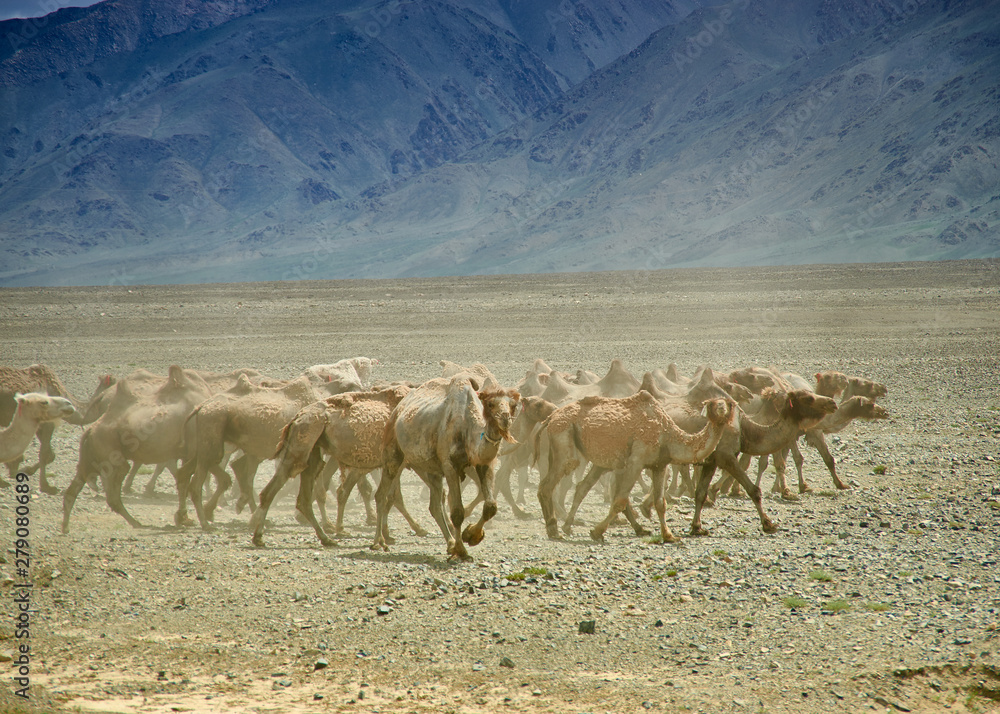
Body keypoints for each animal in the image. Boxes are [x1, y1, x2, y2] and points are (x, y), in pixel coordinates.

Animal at [62, 366, 214, 533]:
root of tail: (89, 431)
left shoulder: (188, 453)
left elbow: (184, 481)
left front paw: (184, 518)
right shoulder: (194, 451)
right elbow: (188, 483)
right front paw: (194, 520)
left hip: (90, 457)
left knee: (73, 490)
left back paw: (66, 527)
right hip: (109, 451)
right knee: (113, 494)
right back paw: (136, 522)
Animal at [250, 385, 424, 547]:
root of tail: (296, 418)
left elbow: (391, 496)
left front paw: (389, 534)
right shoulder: (397, 462)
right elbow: (394, 496)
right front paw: (412, 529)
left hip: (311, 449)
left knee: (301, 497)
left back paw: (324, 537)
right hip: (302, 442)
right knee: (279, 488)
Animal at [372, 375, 520, 561]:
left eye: (513, 405)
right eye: (490, 404)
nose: (505, 418)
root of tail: (398, 408)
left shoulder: (483, 464)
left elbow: (490, 506)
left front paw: (471, 536)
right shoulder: (450, 465)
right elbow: (457, 512)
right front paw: (461, 551)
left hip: (430, 468)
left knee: (435, 504)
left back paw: (449, 544)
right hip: (393, 451)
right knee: (382, 494)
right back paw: (378, 542)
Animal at [538, 391, 736, 544]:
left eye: (728, 403)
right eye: (712, 403)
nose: (721, 409)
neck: (667, 435)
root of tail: (550, 417)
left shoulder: (659, 465)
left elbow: (660, 503)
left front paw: (669, 536)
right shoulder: (636, 460)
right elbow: (620, 500)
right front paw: (596, 532)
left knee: (580, 486)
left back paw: (564, 527)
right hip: (564, 437)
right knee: (550, 482)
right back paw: (554, 530)